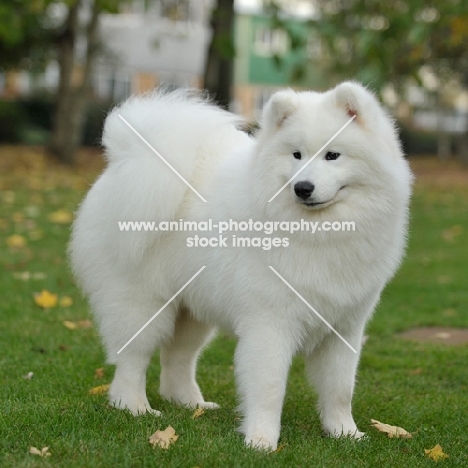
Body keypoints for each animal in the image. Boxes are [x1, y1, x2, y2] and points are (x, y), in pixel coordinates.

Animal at [69, 82, 410, 452]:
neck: (318, 232)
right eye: (296, 155)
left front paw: (345, 433)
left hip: (192, 310)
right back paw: (134, 407)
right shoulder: (270, 324)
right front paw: (261, 440)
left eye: (332, 155)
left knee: (178, 358)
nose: (302, 188)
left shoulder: (343, 327)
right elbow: (269, 387)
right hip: (143, 304)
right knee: (132, 358)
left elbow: (340, 389)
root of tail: (125, 160)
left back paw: (190, 403)